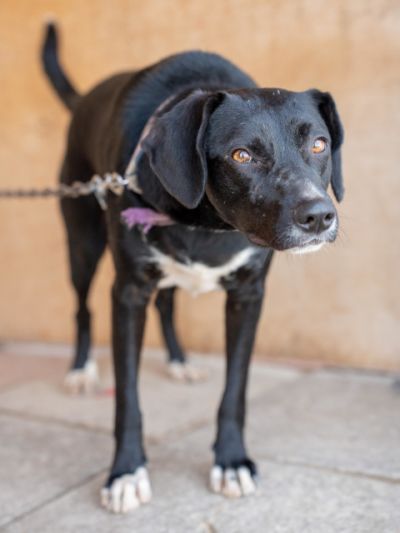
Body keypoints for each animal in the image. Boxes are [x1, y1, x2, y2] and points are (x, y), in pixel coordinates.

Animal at [42, 22, 344, 513]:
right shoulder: (128, 293)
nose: (318, 217)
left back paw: (180, 362)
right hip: (81, 241)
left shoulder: (248, 295)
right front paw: (126, 473)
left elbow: (235, 390)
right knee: (82, 306)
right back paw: (81, 370)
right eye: (242, 155)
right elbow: (127, 398)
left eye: (319, 144)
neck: (205, 221)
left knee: (167, 303)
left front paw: (233, 462)